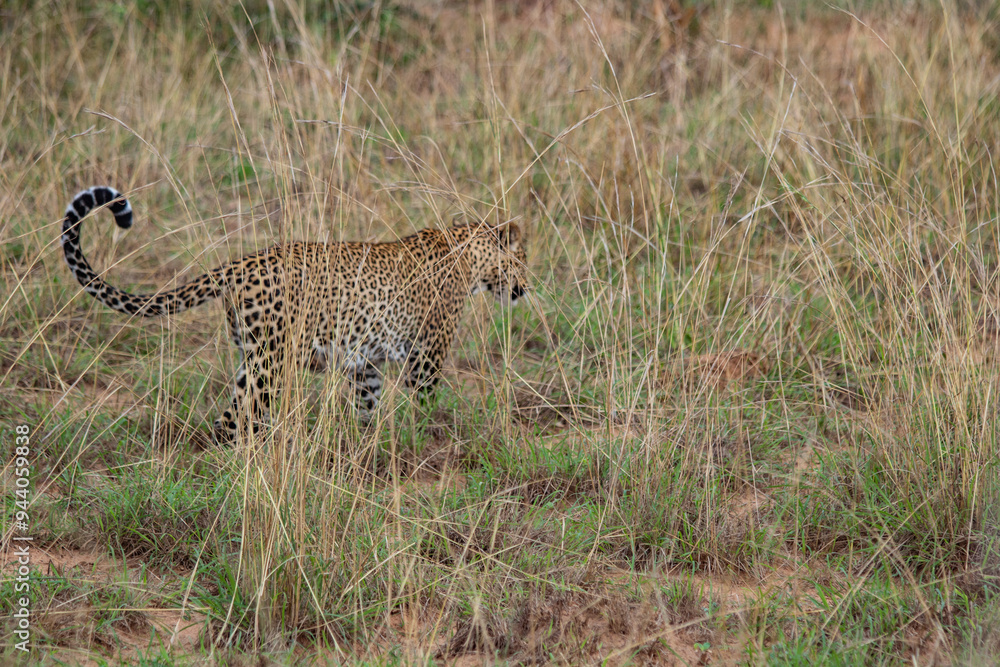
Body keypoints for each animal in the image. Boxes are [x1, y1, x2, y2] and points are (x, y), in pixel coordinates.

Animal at [60, 186, 528, 442]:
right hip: (271, 362)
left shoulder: (368, 364)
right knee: (237, 420)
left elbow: (367, 405)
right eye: (523, 259)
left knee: (229, 419)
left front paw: (365, 446)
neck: (468, 254)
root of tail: (239, 264)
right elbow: (427, 405)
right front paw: (427, 442)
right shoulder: (427, 355)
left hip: (253, 358)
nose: (527, 287)